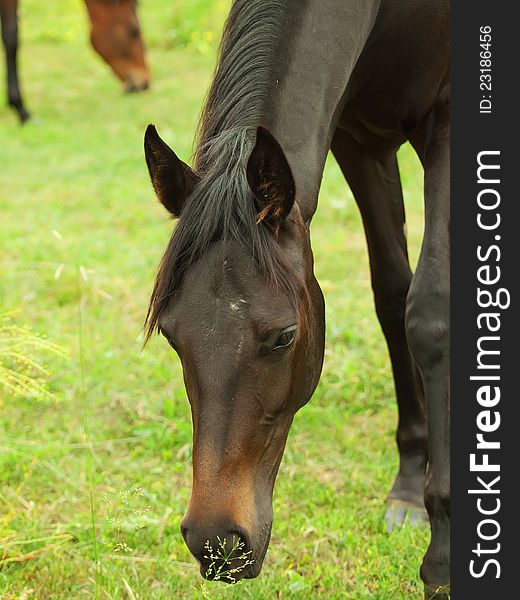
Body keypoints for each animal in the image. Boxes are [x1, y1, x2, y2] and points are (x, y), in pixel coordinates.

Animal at [144, 2, 448, 596]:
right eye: (170, 334)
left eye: (285, 336)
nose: (217, 543)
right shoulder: (360, 141)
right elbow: (393, 296)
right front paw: (408, 485)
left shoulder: (447, 120)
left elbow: (430, 313)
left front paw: (443, 559)